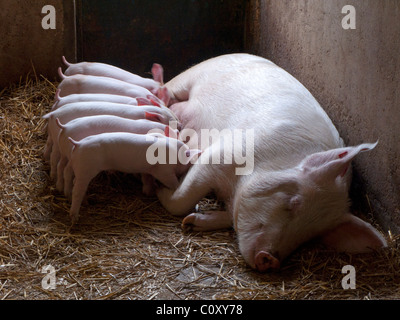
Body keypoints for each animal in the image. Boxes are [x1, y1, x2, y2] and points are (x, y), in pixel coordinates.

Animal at [67, 132, 202, 222]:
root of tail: (78, 144)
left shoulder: (148, 170)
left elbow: (147, 180)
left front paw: (148, 192)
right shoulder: (164, 171)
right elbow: (171, 182)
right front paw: (175, 187)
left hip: (80, 169)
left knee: (74, 183)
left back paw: (86, 202)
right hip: (86, 169)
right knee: (77, 191)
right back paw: (74, 218)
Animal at [155, 53, 386, 272]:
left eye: (312, 234)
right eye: (293, 203)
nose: (270, 260)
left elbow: (231, 217)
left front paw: (191, 222)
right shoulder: (222, 155)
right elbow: (183, 199)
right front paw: (164, 190)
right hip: (188, 77)